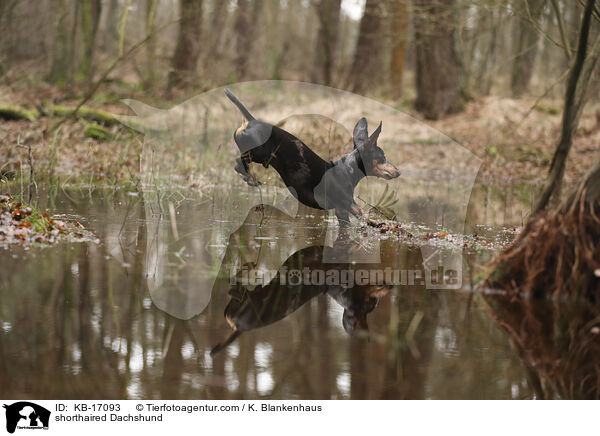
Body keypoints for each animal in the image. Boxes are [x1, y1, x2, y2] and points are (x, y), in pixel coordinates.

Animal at [224, 89, 398, 225]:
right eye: (383, 157)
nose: (398, 171)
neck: (347, 171)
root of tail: (251, 121)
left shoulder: (348, 209)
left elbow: (364, 217)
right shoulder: (343, 209)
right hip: (259, 154)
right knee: (239, 163)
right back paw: (251, 179)